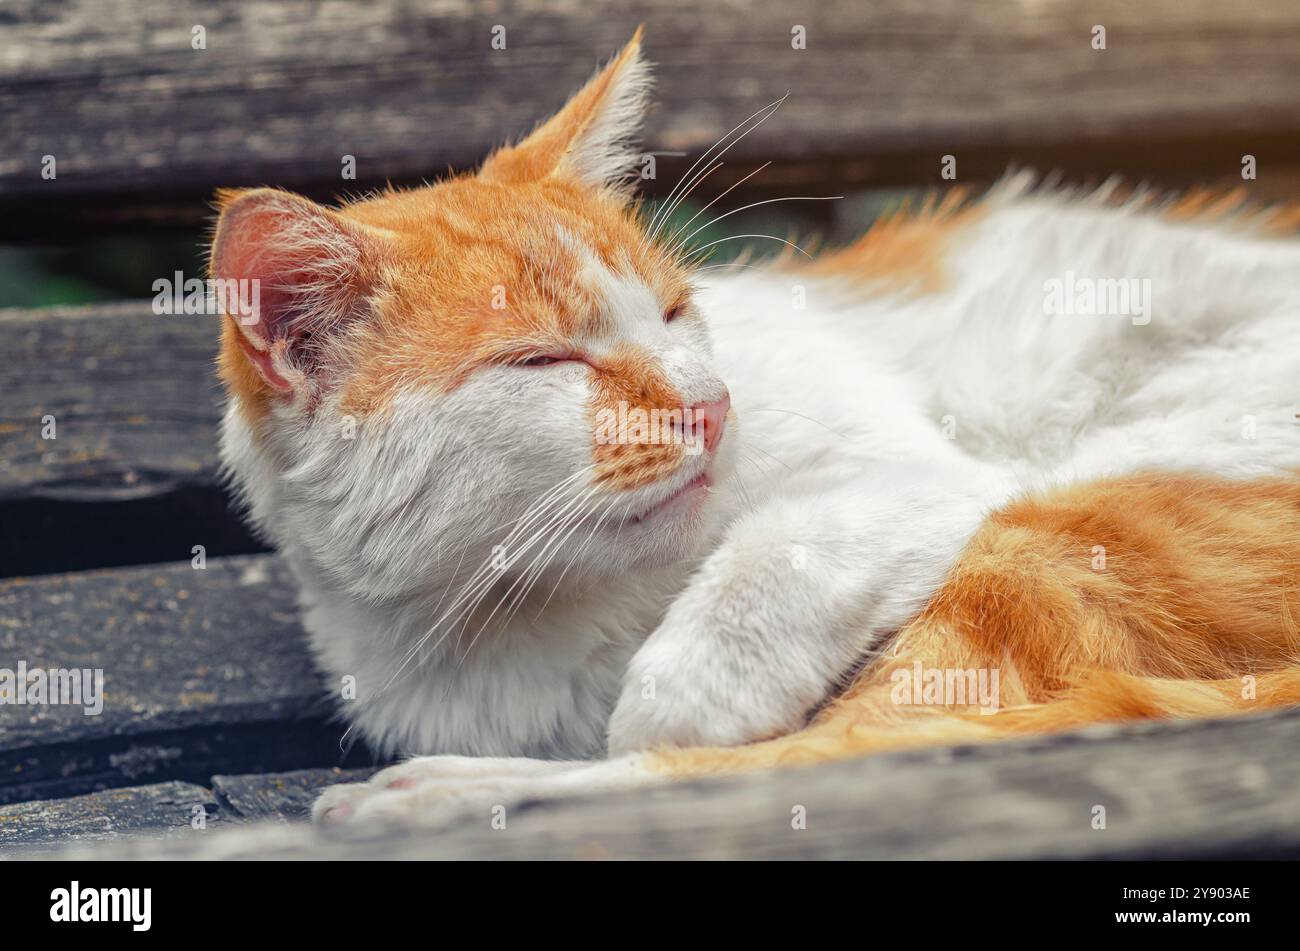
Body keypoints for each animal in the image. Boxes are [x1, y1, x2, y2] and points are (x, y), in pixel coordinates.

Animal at [208, 31, 1300, 826]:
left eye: (674, 312)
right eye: (544, 361)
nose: (711, 402)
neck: (536, 608)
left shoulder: (915, 484)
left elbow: (756, 596)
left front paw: (677, 698)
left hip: (1080, 514)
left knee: (868, 744)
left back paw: (435, 797)